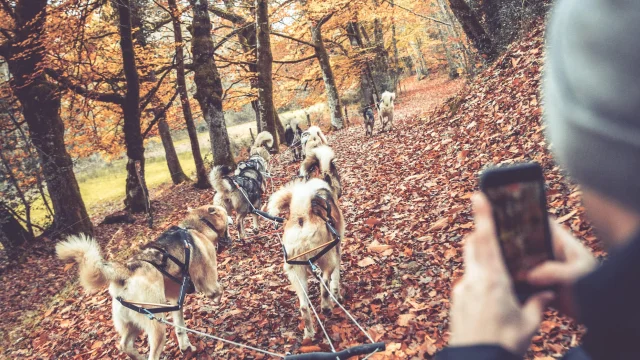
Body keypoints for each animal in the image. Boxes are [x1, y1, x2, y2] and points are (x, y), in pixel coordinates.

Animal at [55, 205, 228, 360]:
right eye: (225, 211)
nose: (232, 217)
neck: (193, 227)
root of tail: (126, 270)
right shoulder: (208, 283)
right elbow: (218, 291)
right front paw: (218, 300)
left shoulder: (175, 300)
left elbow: (180, 327)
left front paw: (185, 346)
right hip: (157, 327)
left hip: (133, 325)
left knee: (124, 346)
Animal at [264, 179, 344, 338]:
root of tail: (301, 216)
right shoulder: (336, 251)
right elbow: (335, 280)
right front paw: (337, 296)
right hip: (328, 258)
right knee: (325, 283)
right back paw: (326, 306)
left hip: (296, 272)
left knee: (304, 306)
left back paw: (309, 333)